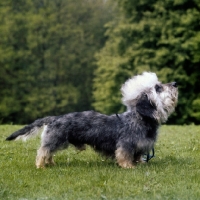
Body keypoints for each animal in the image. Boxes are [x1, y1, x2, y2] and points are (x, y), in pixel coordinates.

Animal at [5, 72, 178, 169]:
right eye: (158, 88)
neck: (141, 120)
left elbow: (137, 156)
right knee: (43, 151)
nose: (175, 83)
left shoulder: (140, 147)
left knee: (48, 153)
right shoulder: (126, 145)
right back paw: (41, 166)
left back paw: (50, 164)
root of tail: (54, 118)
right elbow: (124, 156)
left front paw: (139, 163)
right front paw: (128, 167)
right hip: (55, 140)